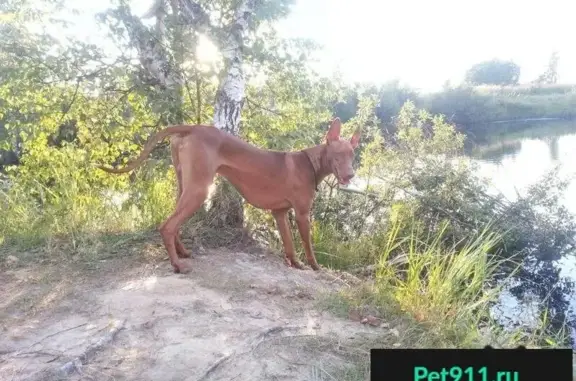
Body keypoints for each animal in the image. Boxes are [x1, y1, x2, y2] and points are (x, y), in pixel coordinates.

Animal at [98, 117, 360, 272]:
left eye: (352, 155)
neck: (310, 163)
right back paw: (177, 265)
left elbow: (288, 244)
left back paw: (183, 253)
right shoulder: (303, 214)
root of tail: (192, 126)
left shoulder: (279, 213)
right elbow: (307, 244)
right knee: (167, 226)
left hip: (185, 186)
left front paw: (294, 263)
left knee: (172, 223)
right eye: (338, 155)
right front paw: (314, 266)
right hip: (199, 190)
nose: (350, 175)